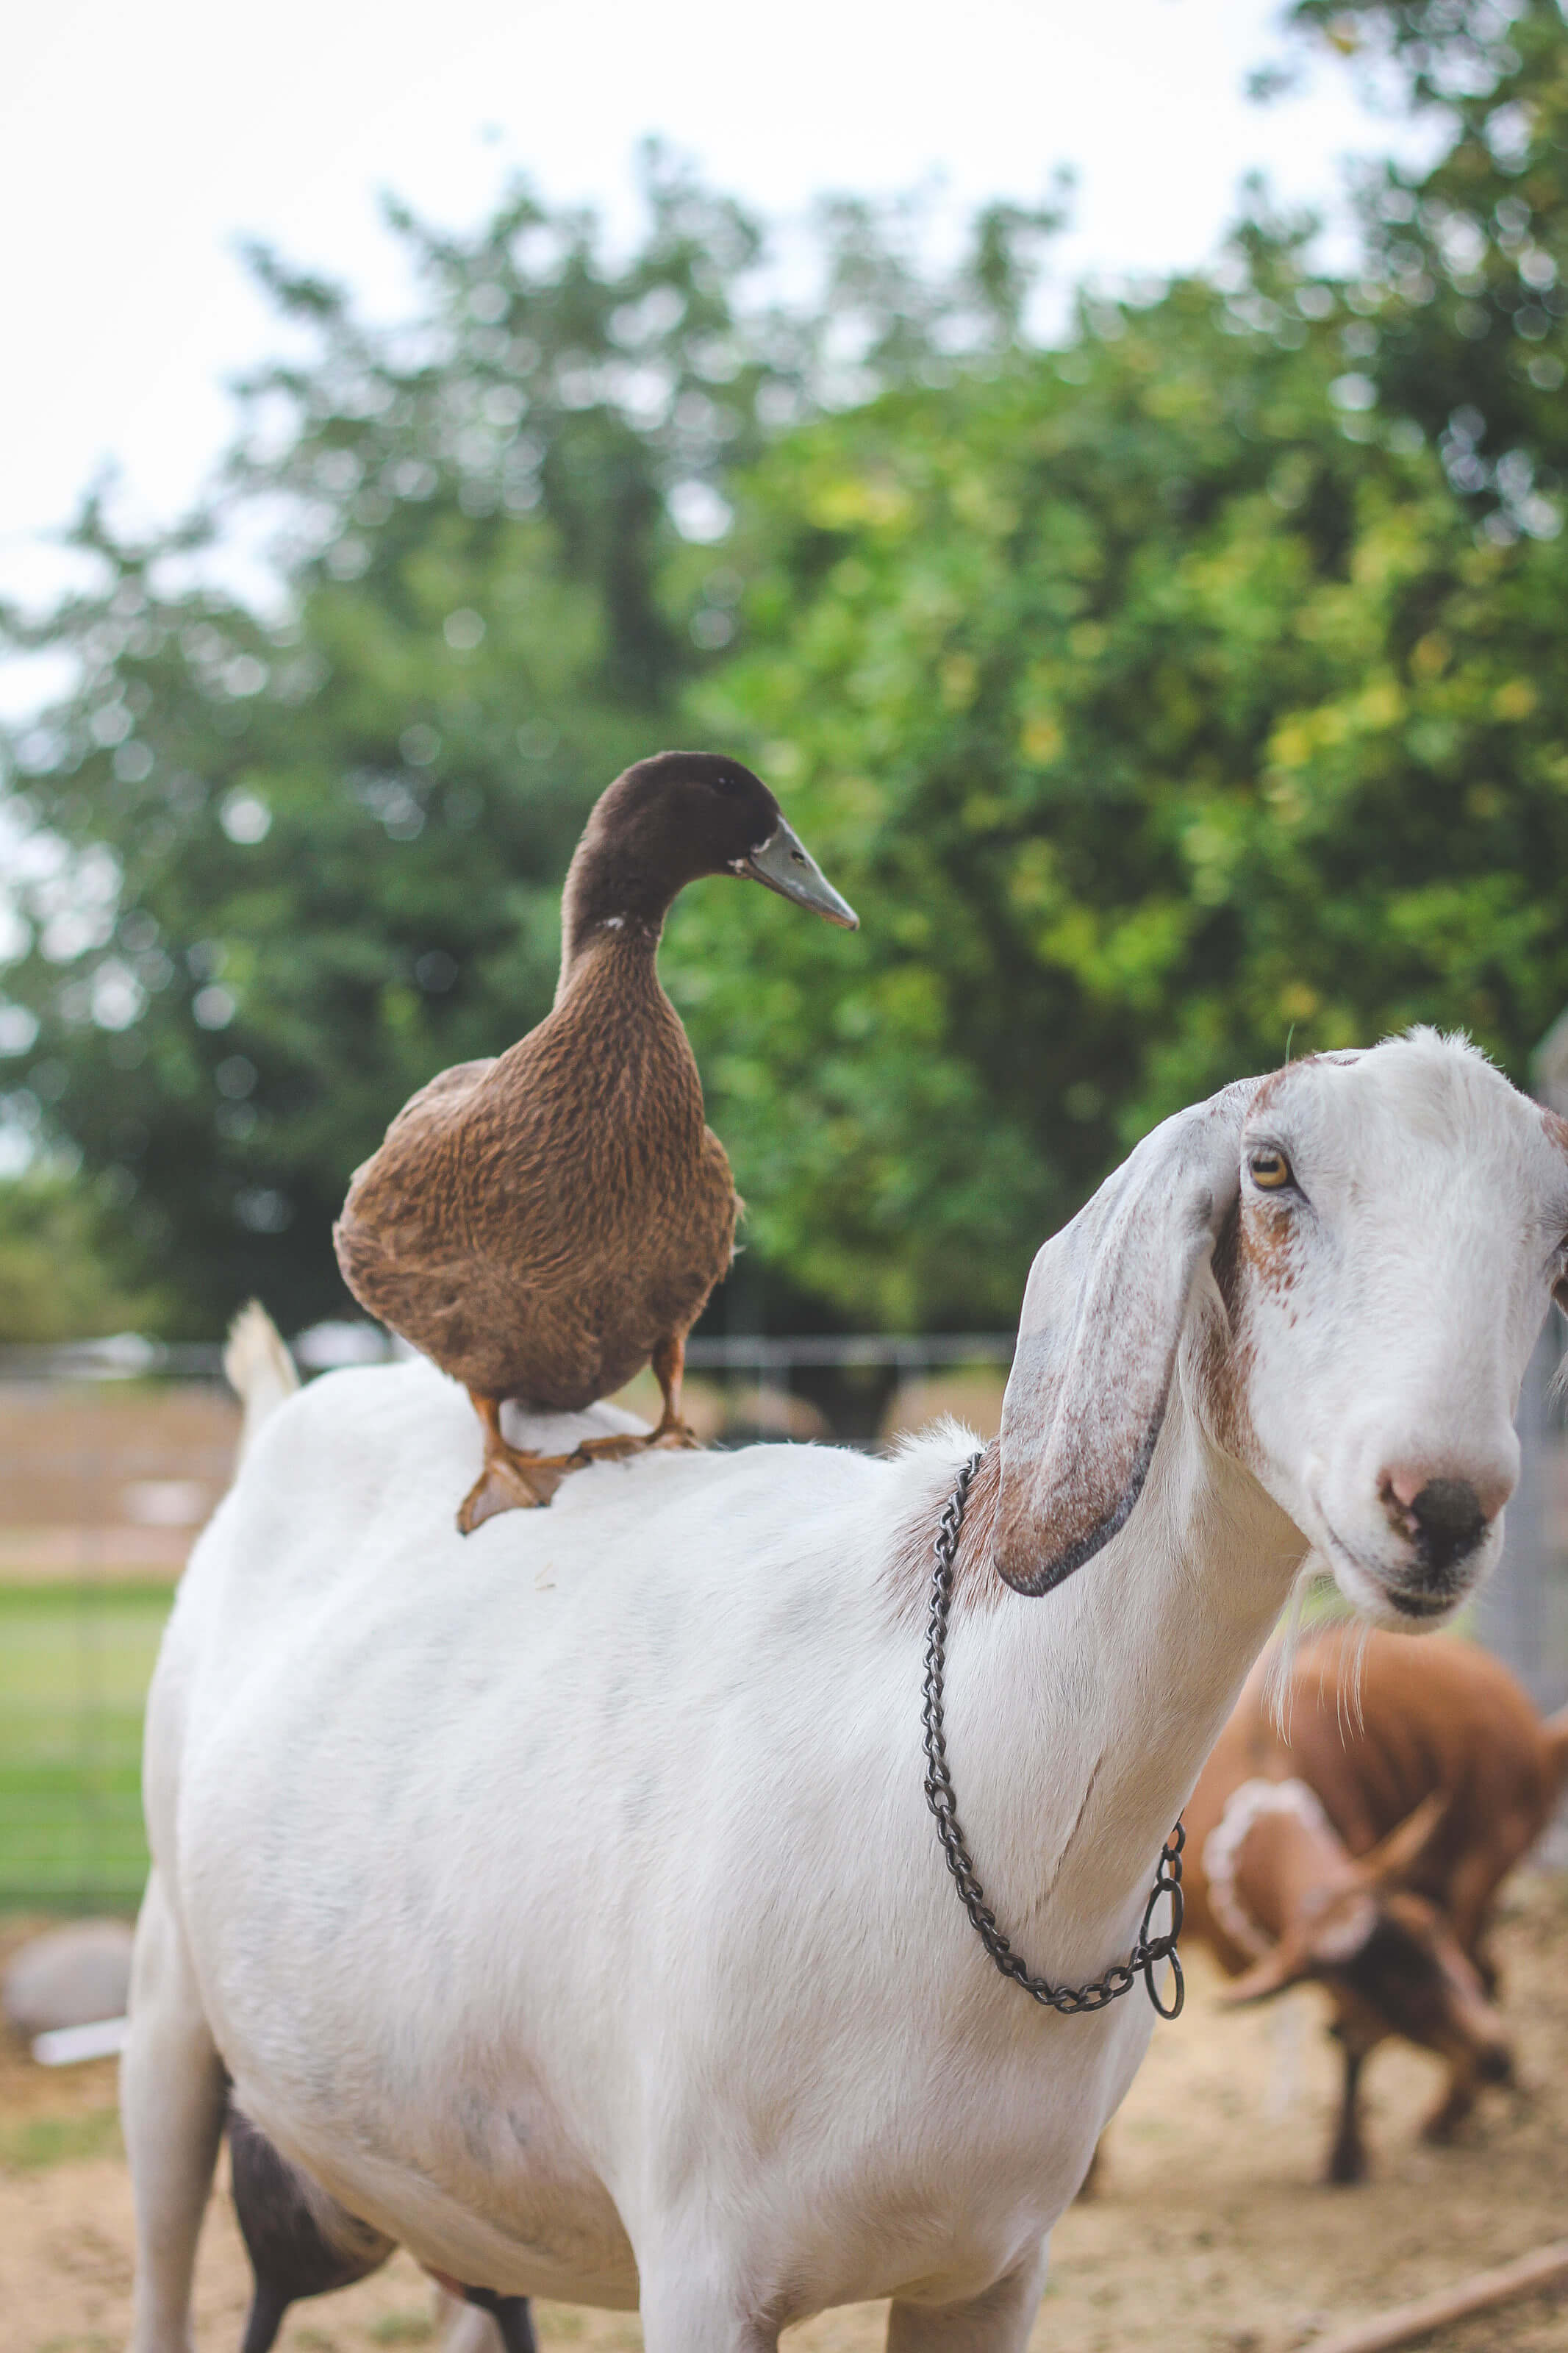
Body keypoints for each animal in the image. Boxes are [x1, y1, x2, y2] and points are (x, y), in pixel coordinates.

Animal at [123, 1035, 1568, 2353]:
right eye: (1269, 1169)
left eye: (1553, 1232)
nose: (1439, 1505)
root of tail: (286, 1413)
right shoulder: (701, 2269)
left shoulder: (991, 2268)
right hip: (169, 2010)